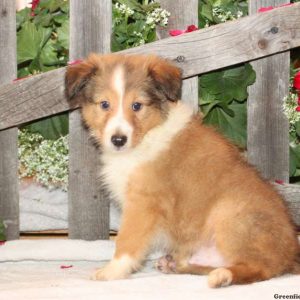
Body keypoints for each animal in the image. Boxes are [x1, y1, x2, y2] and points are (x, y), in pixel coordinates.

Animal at [64, 54, 298, 288]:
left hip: (230, 213)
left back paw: (222, 276)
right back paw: (175, 264)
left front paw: (112, 271)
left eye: (137, 105)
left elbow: (127, 239)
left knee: (260, 269)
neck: (148, 136)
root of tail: (291, 255)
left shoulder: (144, 203)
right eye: (104, 104)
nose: (118, 140)